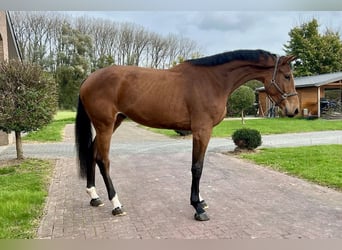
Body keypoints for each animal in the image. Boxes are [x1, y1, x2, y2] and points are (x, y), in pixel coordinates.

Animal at [75, 48, 300, 221]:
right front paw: (197, 208)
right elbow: (197, 168)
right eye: (287, 76)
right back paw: (116, 204)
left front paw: (200, 200)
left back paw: (94, 196)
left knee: (92, 153)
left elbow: (198, 166)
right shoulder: (202, 130)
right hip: (105, 125)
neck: (213, 81)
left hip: (114, 122)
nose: (295, 109)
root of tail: (88, 79)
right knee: (103, 160)